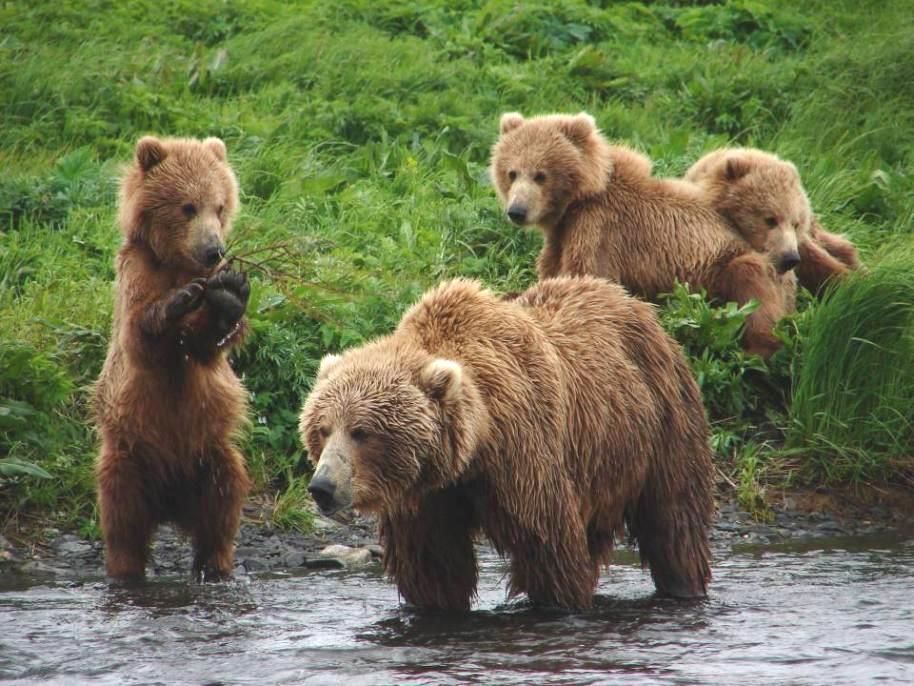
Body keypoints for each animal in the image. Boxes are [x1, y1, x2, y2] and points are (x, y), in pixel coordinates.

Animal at [94, 137, 251, 584]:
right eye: (187, 206)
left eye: (220, 205)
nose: (214, 249)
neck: (178, 262)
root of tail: (170, 505)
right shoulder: (137, 273)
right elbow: (141, 334)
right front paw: (176, 302)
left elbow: (206, 344)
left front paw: (229, 294)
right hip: (128, 455)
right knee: (122, 518)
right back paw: (125, 570)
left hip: (212, 456)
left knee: (222, 509)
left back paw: (214, 567)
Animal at [300, 276, 712, 612]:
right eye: (322, 429)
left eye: (361, 431)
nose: (322, 486)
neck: (475, 448)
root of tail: (632, 300)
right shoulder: (428, 498)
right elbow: (433, 567)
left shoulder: (524, 460)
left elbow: (547, 548)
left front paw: (556, 602)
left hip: (661, 420)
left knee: (672, 519)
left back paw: (682, 585)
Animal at [488, 111, 796, 360]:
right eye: (511, 172)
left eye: (541, 175)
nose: (517, 211)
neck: (577, 201)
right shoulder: (561, 236)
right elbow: (551, 274)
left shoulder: (599, 229)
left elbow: (588, 278)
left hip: (733, 266)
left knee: (752, 285)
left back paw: (755, 350)